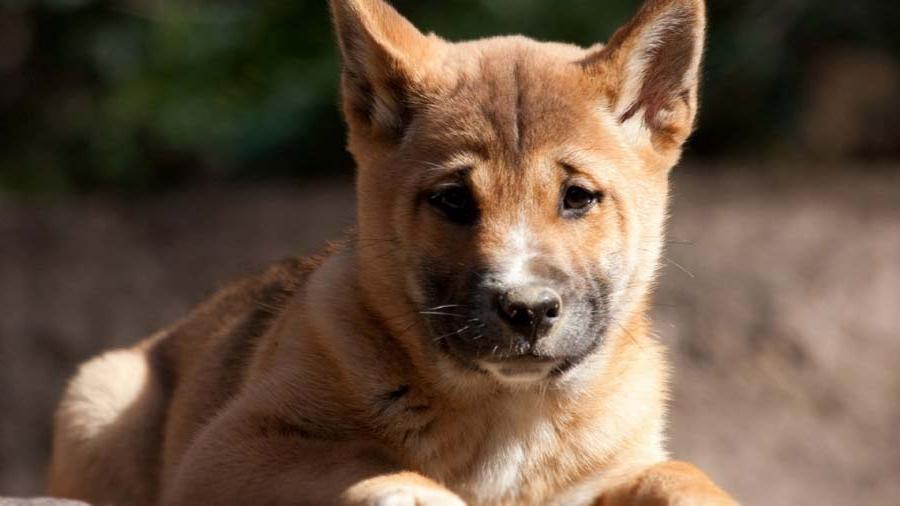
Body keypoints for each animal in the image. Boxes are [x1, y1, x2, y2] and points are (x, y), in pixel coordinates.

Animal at [47, 0, 740, 506]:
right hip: (99, 395)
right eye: (453, 199)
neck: (506, 412)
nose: (528, 310)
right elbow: (359, 463)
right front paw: (418, 489)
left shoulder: (615, 468)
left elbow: (676, 473)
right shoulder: (229, 450)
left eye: (578, 197)